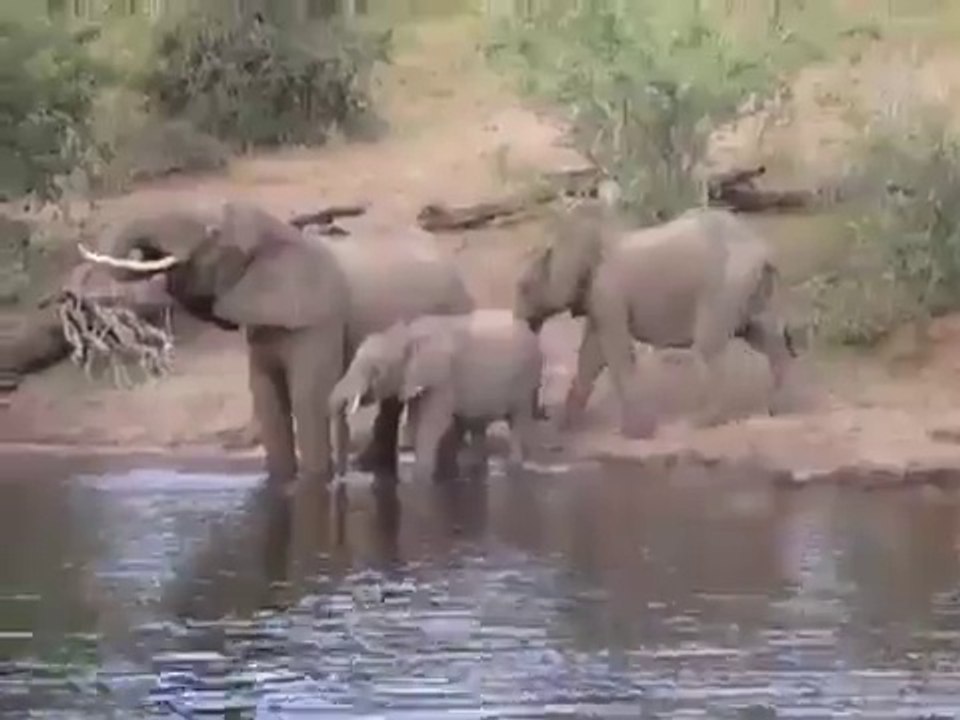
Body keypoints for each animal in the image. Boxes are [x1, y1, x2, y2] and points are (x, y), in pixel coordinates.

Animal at [77, 201, 474, 483]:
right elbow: (266, 395)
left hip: (453, 310)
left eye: (213, 232)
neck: (276, 234)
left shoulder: (318, 319)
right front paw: (281, 482)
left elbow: (307, 396)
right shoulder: (264, 321)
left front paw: (315, 483)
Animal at [329, 310, 544, 484]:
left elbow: (432, 423)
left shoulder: (442, 378)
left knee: (518, 419)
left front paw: (420, 477)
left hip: (527, 379)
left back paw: (513, 467)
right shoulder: (416, 380)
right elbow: (416, 421)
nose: (340, 478)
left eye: (377, 370)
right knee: (476, 424)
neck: (406, 334)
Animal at [513, 192, 796, 439]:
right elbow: (590, 355)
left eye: (524, 288)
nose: (545, 414)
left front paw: (634, 434)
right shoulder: (598, 299)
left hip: (724, 288)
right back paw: (777, 409)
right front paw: (567, 427)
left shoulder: (609, 293)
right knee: (765, 337)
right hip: (752, 291)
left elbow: (616, 352)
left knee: (709, 346)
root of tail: (763, 249)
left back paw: (701, 422)